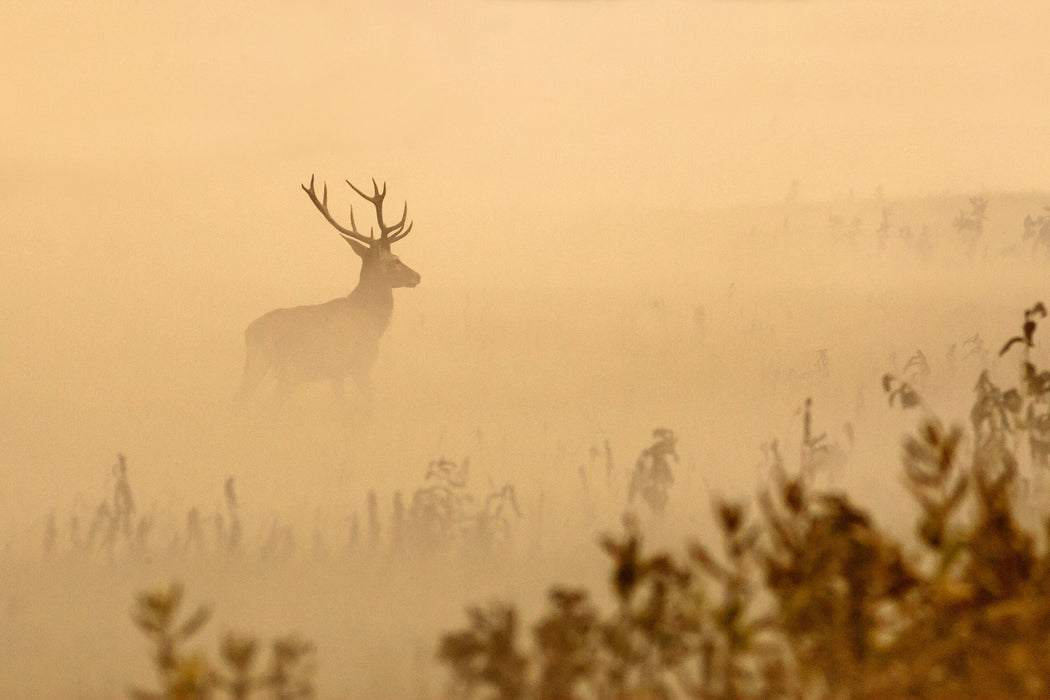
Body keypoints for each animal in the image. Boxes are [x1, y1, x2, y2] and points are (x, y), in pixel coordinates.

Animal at [236, 175, 419, 407]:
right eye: (396, 260)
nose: (417, 276)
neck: (370, 321)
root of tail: (248, 333)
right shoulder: (357, 366)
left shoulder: (336, 374)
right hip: (282, 369)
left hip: (265, 368)